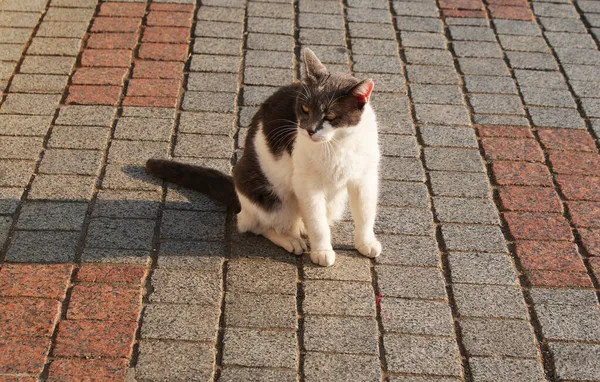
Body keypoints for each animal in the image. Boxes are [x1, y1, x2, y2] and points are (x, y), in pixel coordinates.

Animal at [145, 47, 380, 266]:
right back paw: (289, 238)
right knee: (257, 224)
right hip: (270, 196)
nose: (309, 130)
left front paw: (365, 242)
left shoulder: (365, 179)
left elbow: (365, 212)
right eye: (304, 108)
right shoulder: (307, 185)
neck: (338, 143)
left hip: (332, 203)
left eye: (330, 116)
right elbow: (317, 223)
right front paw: (322, 251)